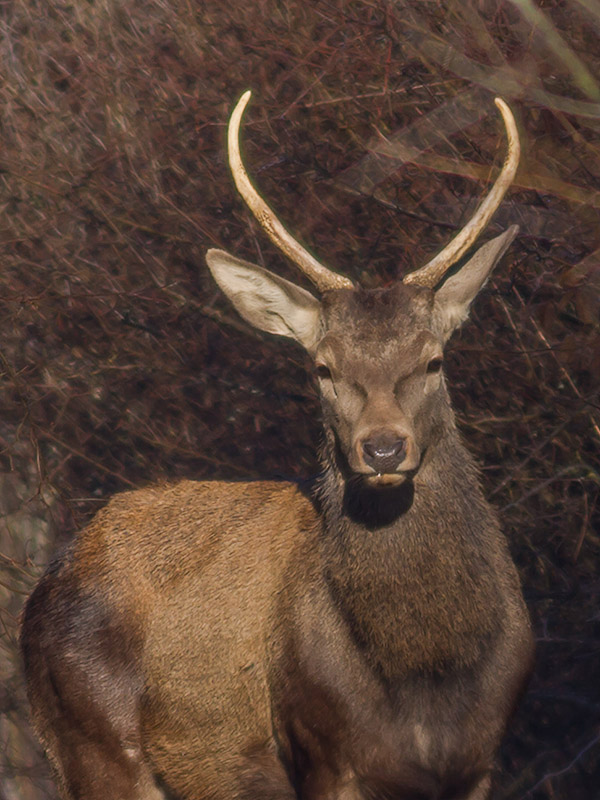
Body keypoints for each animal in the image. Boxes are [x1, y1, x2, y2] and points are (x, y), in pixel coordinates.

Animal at [21, 92, 532, 800]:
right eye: (323, 368)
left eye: (433, 360)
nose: (381, 450)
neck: (427, 675)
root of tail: (44, 587)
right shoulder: (319, 747)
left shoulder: (481, 761)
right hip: (86, 743)